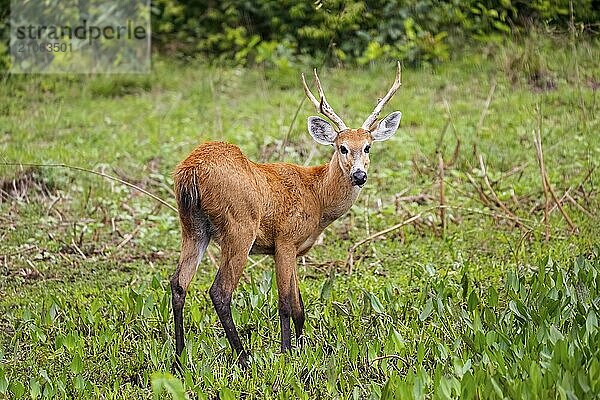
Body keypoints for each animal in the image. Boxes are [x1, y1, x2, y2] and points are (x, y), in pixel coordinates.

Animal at [170, 61, 404, 366]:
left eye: (368, 147)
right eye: (342, 147)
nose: (359, 175)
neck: (317, 197)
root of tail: (191, 171)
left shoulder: (293, 248)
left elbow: (299, 305)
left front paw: (302, 347)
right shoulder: (284, 240)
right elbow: (285, 303)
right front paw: (285, 353)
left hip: (192, 226)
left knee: (179, 283)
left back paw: (179, 357)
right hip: (239, 228)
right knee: (220, 291)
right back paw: (243, 357)